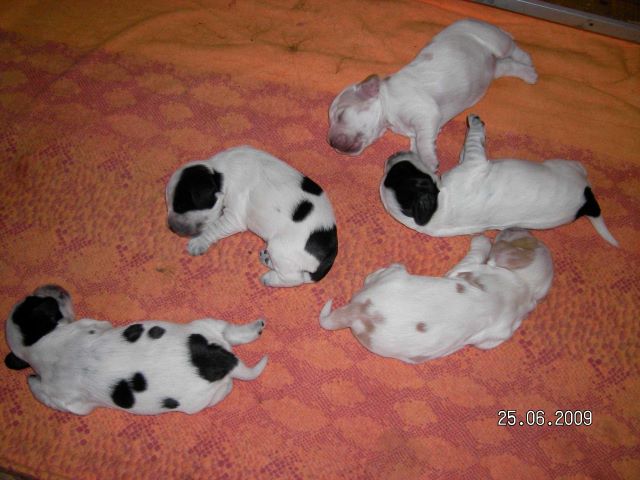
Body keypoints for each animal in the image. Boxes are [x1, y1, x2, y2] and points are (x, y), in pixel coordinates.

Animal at [4, 285, 268, 415]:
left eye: (34, 301)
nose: (54, 289)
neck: (40, 345)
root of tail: (225, 361)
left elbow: (37, 388)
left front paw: (30, 379)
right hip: (205, 327)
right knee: (230, 333)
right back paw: (254, 328)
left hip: (199, 399)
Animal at [166, 146, 338, 287]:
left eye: (180, 206)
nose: (171, 227)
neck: (220, 174)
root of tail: (331, 252)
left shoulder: (233, 217)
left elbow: (213, 228)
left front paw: (198, 242)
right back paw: (267, 260)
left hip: (280, 248)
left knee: (295, 278)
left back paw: (270, 279)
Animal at [320, 229, 553, 363]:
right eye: (530, 238)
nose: (514, 227)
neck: (523, 285)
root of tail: (358, 311)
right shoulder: (497, 336)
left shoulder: (467, 269)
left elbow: (476, 253)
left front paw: (482, 240)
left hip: (393, 274)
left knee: (378, 274)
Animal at [328, 18, 537, 172]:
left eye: (340, 115)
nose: (330, 143)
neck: (387, 104)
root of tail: (484, 22)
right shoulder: (416, 130)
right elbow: (418, 143)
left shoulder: (424, 112)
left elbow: (423, 142)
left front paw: (429, 161)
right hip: (495, 68)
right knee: (509, 65)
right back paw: (529, 74)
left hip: (492, 39)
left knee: (512, 47)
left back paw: (527, 58)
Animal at [380, 114, 618, 246]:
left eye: (400, 170)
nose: (391, 157)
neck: (435, 211)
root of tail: (589, 204)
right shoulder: (476, 162)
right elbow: (474, 139)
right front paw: (476, 122)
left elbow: (467, 148)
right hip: (562, 166)